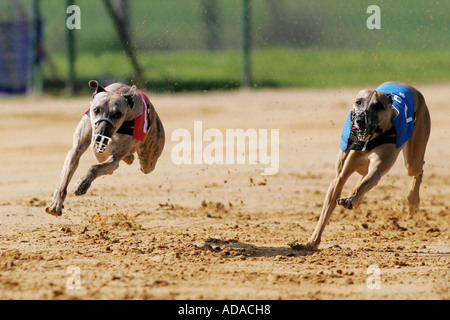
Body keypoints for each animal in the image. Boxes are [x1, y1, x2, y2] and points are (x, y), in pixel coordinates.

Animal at [46, 80, 165, 216]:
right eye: (96, 109)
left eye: (118, 114)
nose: (100, 135)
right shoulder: (76, 149)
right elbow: (64, 177)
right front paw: (56, 203)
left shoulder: (114, 159)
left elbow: (95, 167)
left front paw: (82, 183)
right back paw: (128, 157)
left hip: (148, 159)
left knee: (144, 166)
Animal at [300, 80, 430, 250]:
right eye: (358, 102)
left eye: (378, 105)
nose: (360, 120)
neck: (369, 139)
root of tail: (407, 85)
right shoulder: (341, 175)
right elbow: (327, 208)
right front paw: (312, 241)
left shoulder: (377, 169)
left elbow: (365, 182)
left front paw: (349, 199)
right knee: (363, 176)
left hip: (413, 158)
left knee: (418, 169)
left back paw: (412, 201)